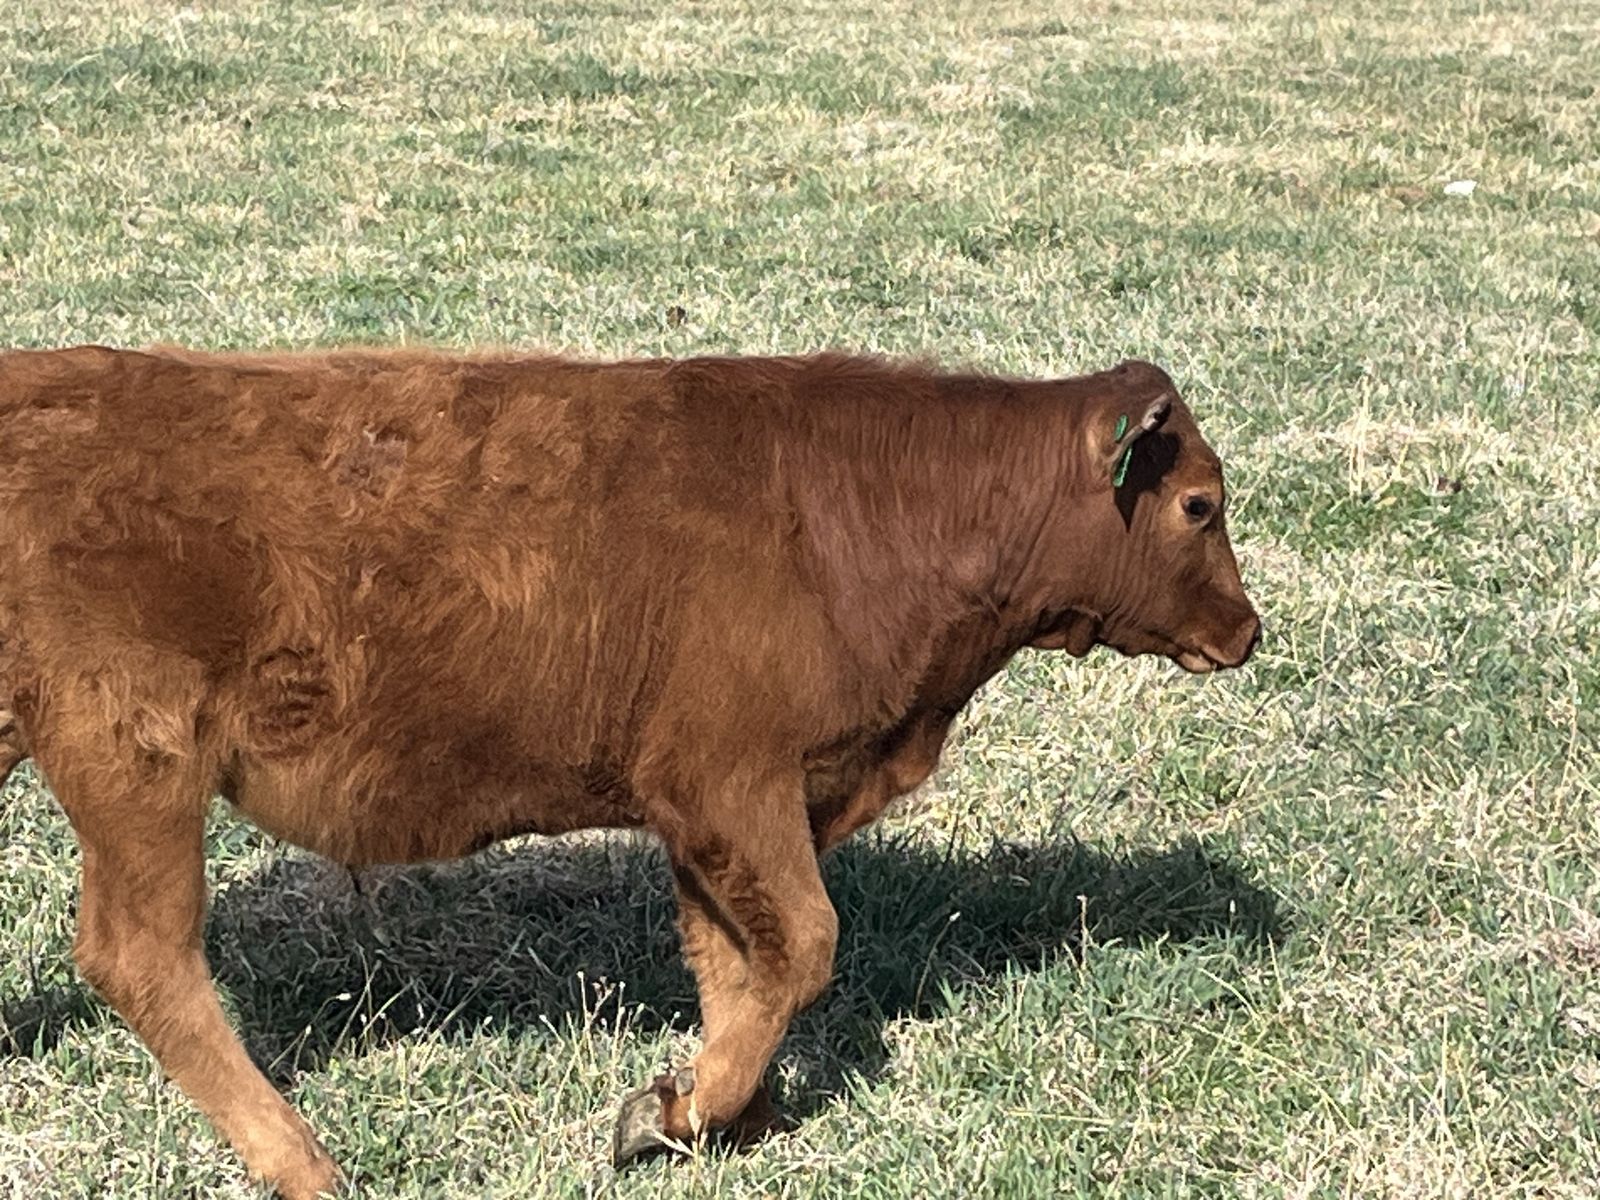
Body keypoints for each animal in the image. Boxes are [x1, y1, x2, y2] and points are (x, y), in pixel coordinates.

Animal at [0, 346, 1259, 1197]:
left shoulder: (714, 814)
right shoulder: (732, 786)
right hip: (136, 766)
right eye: (1198, 504)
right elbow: (804, 946)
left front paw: (714, 1114)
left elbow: (738, 965)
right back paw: (305, 1161)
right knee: (140, 955)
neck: (863, 513)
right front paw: (676, 1109)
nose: (1247, 632)